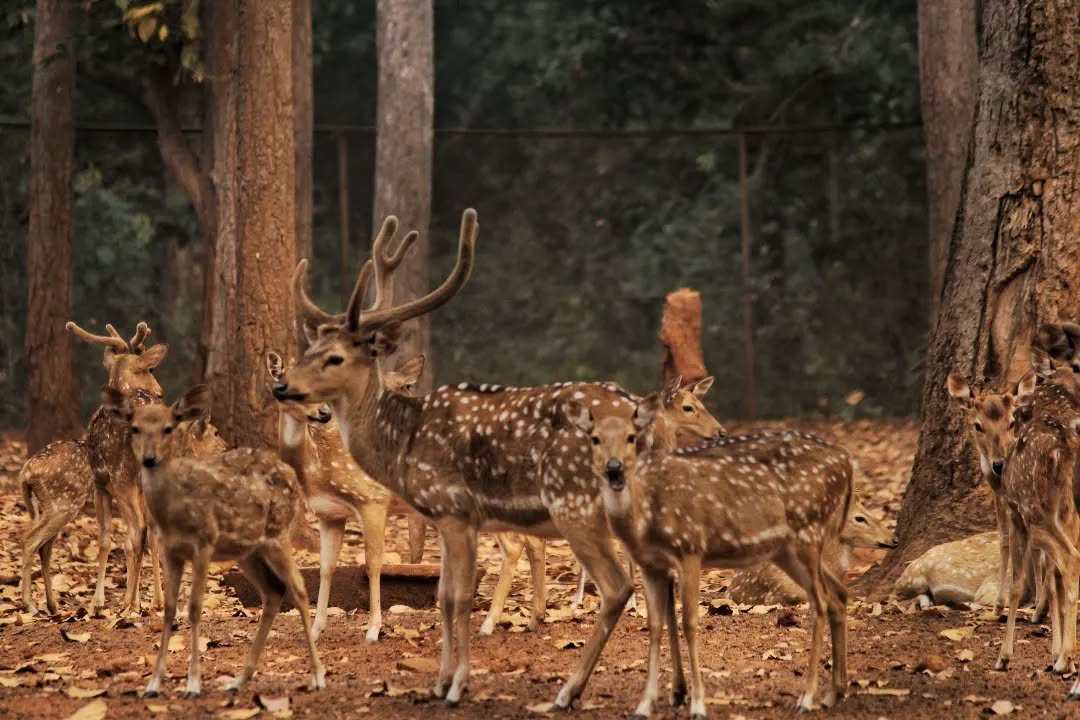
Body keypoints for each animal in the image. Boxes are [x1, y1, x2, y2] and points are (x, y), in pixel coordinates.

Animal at [100, 384, 324, 698]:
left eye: (168, 428)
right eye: (134, 428)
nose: (149, 458)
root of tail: (292, 475)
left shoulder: (203, 542)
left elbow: (195, 608)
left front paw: (193, 684)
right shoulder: (172, 550)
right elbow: (170, 609)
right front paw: (153, 684)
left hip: (277, 535)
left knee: (299, 590)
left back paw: (317, 676)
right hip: (247, 551)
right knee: (273, 592)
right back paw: (239, 680)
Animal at [271, 209, 726, 708]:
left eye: (334, 358)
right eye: (310, 350)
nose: (283, 386)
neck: (400, 442)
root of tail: (647, 425)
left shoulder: (453, 508)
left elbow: (456, 597)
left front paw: (455, 684)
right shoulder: (445, 516)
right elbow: (444, 594)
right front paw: (438, 681)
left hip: (576, 502)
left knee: (617, 586)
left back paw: (569, 690)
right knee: (662, 579)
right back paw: (675, 690)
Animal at [570, 407, 853, 717]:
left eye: (631, 437)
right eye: (595, 438)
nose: (614, 468)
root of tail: (847, 463)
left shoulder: (690, 548)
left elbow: (690, 622)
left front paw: (697, 704)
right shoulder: (651, 565)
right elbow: (654, 626)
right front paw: (644, 706)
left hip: (808, 531)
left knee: (820, 602)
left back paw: (807, 697)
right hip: (787, 550)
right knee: (838, 594)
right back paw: (833, 694)